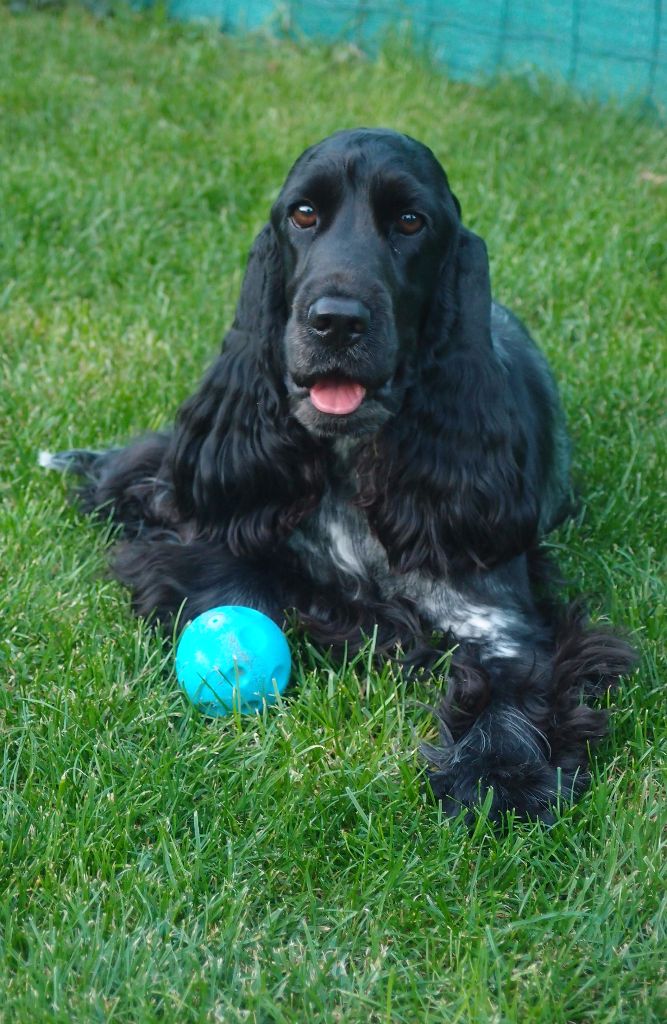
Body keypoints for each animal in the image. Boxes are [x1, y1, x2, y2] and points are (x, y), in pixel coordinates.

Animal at [43, 128, 635, 819]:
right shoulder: (212, 545)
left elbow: (515, 694)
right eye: (303, 213)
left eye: (410, 221)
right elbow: (235, 584)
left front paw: (499, 774)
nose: (336, 321)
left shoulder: (506, 624)